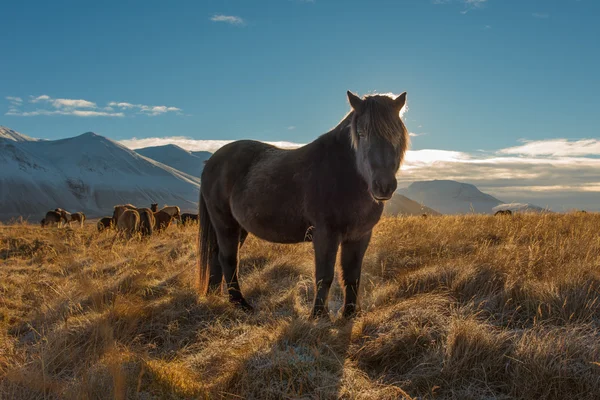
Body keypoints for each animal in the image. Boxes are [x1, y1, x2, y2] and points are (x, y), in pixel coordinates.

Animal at [199, 91, 410, 318]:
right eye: (361, 133)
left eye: (397, 134)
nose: (383, 186)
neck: (344, 174)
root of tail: (212, 161)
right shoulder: (325, 234)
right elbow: (324, 276)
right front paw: (318, 316)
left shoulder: (360, 236)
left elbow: (352, 276)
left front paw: (349, 314)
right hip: (225, 223)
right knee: (228, 259)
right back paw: (241, 304)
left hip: (239, 228)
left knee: (216, 257)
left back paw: (214, 296)